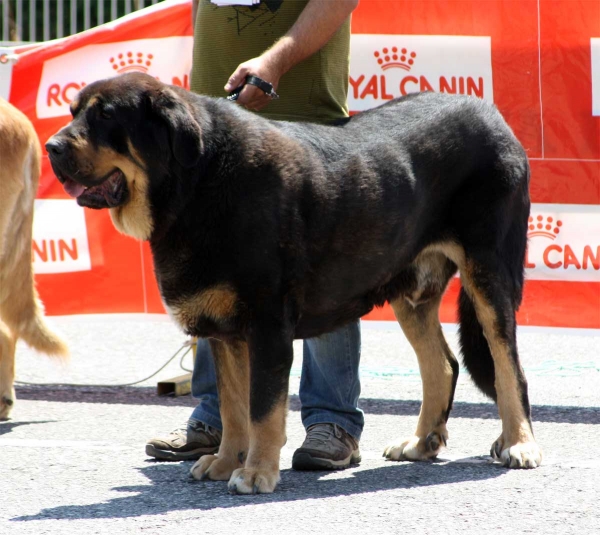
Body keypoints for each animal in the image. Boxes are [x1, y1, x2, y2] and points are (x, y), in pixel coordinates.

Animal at [47, 71, 540, 494]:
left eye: (106, 116)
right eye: (74, 111)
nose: (51, 146)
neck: (198, 182)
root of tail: (491, 112)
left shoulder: (267, 326)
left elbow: (263, 409)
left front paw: (256, 473)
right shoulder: (226, 334)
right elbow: (233, 409)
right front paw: (225, 462)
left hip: (488, 273)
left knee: (507, 365)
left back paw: (519, 443)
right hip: (410, 292)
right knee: (442, 365)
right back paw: (421, 443)